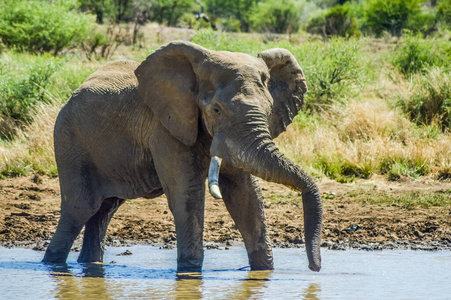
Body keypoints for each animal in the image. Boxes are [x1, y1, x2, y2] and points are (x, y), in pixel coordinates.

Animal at [42, 41, 324, 274]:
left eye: (268, 110)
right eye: (216, 110)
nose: (315, 267)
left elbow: (247, 197)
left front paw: (264, 273)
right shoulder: (165, 129)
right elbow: (187, 196)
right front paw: (189, 273)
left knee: (104, 210)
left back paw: (89, 265)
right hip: (70, 141)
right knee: (80, 208)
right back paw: (52, 265)